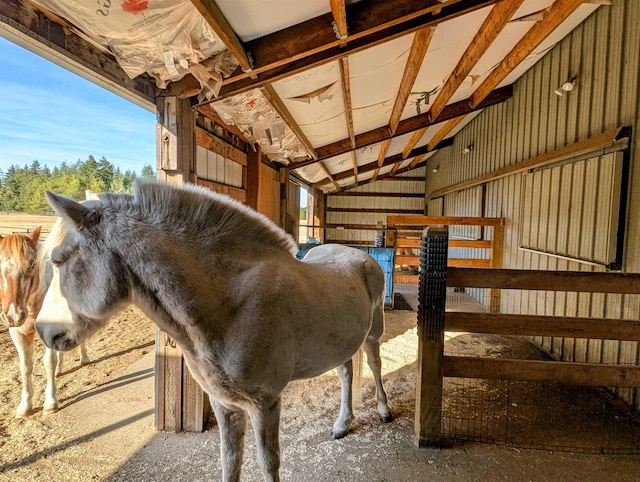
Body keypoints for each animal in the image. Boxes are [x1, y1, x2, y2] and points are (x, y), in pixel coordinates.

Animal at [36, 182, 396, 482]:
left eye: (58, 260)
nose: (43, 331)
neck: (230, 304)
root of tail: (359, 255)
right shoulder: (224, 404)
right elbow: (229, 461)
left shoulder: (265, 403)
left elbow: (268, 463)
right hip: (341, 343)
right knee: (346, 373)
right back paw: (341, 425)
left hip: (372, 334)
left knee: (374, 365)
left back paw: (384, 412)